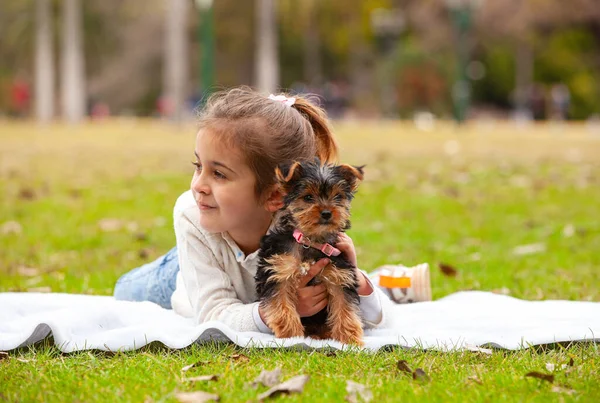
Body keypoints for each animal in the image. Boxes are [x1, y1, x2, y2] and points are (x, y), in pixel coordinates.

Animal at [254, 159, 364, 346]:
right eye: (308, 197)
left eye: (338, 196)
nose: (327, 213)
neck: (311, 241)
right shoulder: (279, 270)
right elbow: (281, 304)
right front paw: (291, 335)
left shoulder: (339, 274)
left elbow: (345, 306)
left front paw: (350, 341)